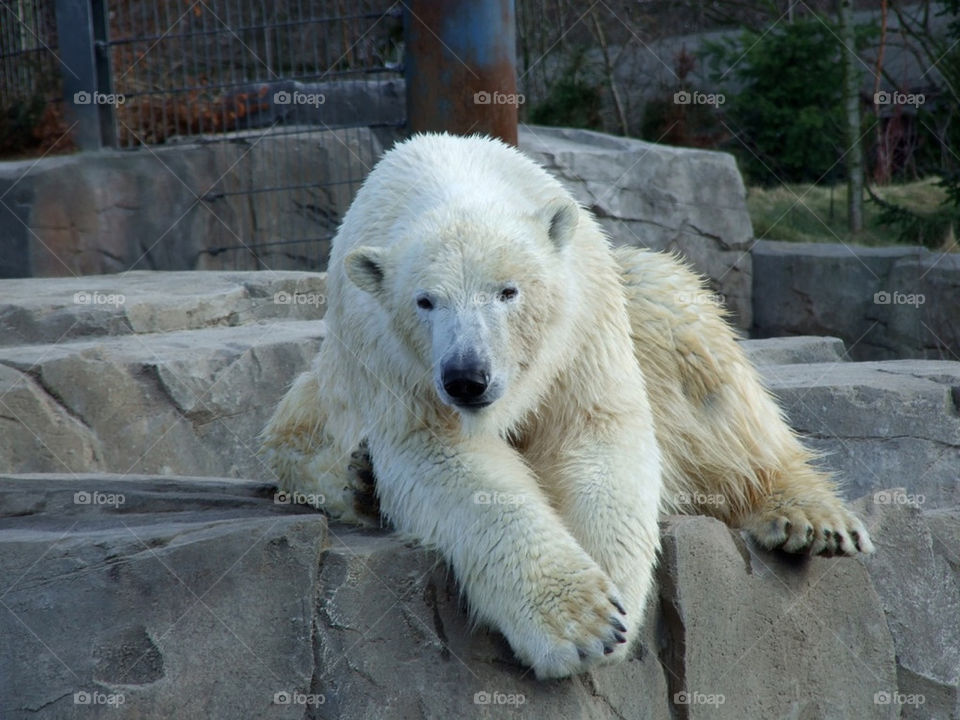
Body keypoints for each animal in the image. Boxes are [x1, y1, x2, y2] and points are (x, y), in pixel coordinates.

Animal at [258, 132, 872, 676]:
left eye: (508, 291)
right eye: (425, 301)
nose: (467, 379)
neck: (450, 173)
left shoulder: (582, 321)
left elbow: (595, 431)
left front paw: (618, 596)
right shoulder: (392, 359)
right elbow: (449, 461)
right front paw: (581, 624)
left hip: (643, 302)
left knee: (696, 357)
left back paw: (811, 518)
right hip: (323, 393)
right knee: (299, 441)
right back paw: (361, 480)